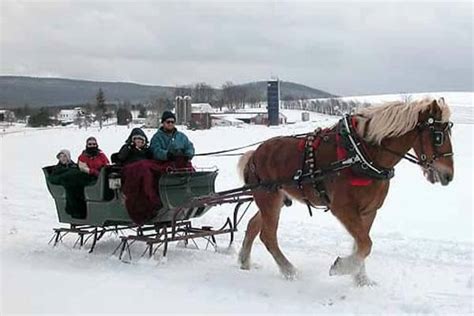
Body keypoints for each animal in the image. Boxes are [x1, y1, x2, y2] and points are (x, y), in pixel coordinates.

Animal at [239, 97, 454, 286]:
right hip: (269, 198)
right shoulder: (343, 209)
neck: (361, 154)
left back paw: (244, 261)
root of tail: (254, 155)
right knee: (268, 236)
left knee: (253, 225)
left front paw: (361, 279)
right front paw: (342, 267)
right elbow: (365, 244)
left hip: (274, 200)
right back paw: (289, 270)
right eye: (438, 137)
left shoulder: (369, 211)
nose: (449, 175)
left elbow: (361, 244)